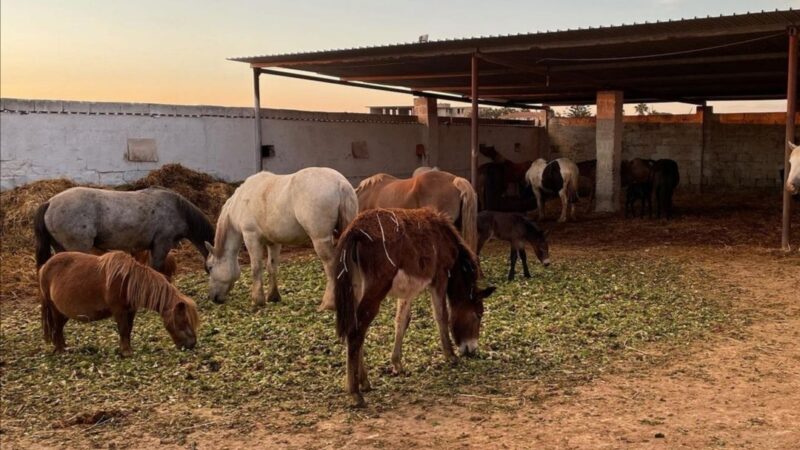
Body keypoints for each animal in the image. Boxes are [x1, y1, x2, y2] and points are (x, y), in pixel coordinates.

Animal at [39, 251, 199, 356]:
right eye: (184, 321)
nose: (192, 344)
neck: (127, 281)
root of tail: (44, 268)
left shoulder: (131, 310)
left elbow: (128, 329)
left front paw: (126, 349)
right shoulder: (119, 310)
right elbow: (123, 329)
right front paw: (126, 352)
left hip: (63, 313)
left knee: (58, 330)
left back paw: (64, 348)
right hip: (55, 310)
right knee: (56, 330)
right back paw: (61, 351)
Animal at [205, 167, 358, 312]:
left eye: (210, 267)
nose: (213, 297)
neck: (241, 201)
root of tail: (340, 183)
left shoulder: (251, 237)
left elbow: (256, 267)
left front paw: (257, 299)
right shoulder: (274, 242)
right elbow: (271, 266)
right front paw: (273, 296)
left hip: (320, 240)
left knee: (330, 265)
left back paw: (328, 303)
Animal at [332, 207, 494, 408]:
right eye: (478, 314)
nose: (472, 350)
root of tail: (354, 230)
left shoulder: (407, 292)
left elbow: (401, 321)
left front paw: (397, 363)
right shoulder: (440, 276)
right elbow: (441, 315)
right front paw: (450, 355)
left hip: (355, 287)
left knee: (355, 328)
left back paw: (363, 381)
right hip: (377, 286)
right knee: (356, 330)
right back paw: (355, 392)